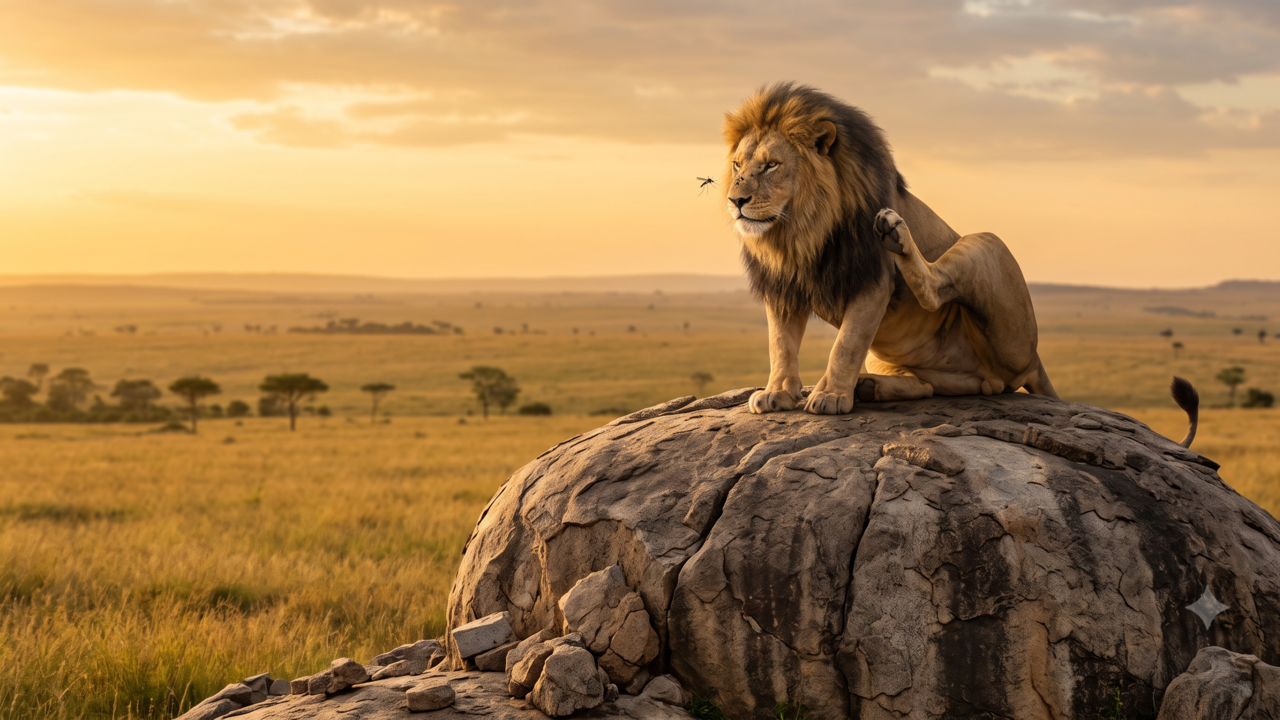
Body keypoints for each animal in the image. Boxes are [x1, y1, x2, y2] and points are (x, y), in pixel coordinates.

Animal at [722, 82, 1059, 416]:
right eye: (737, 165)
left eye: (771, 165)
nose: (735, 201)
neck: (799, 234)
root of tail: (1033, 361)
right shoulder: (782, 288)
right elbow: (780, 344)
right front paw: (776, 393)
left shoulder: (873, 281)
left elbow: (847, 343)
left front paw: (831, 395)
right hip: (920, 367)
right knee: (927, 387)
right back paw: (868, 387)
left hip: (993, 259)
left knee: (933, 292)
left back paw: (894, 232)